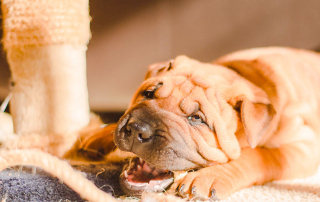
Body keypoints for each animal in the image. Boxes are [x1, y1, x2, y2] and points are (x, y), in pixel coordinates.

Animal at [83, 47, 320, 200]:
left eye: (197, 119)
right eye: (148, 94)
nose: (137, 130)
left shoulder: (305, 146)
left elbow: (259, 155)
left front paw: (209, 178)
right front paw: (96, 136)